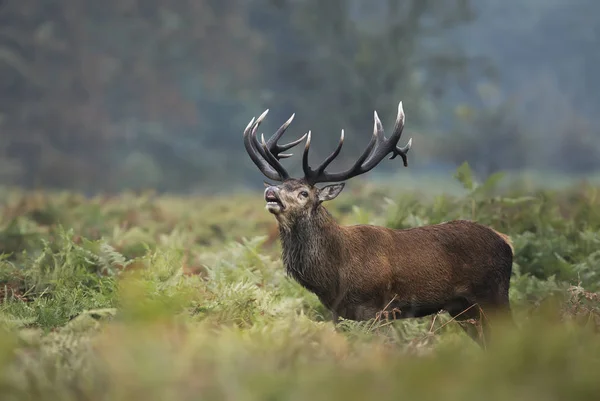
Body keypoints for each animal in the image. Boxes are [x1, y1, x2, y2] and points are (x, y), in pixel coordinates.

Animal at [241, 101, 512, 346]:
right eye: (282, 186)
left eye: (303, 193)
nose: (271, 193)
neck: (334, 274)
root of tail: (507, 242)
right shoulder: (338, 313)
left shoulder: (376, 309)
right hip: (463, 308)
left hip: (494, 294)